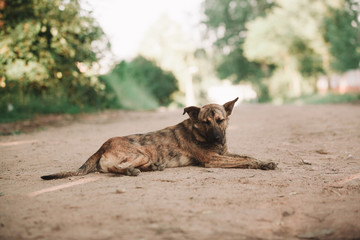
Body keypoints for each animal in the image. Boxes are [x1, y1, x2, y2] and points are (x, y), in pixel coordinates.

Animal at [41, 97, 276, 180]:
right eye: (205, 122)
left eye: (220, 120)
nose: (218, 138)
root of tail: (103, 145)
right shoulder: (213, 160)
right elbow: (245, 160)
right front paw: (261, 164)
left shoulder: (224, 153)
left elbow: (246, 155)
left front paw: (264, 161)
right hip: (141, 153)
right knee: (117, 168)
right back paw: (132, 171)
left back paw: (153, 168)